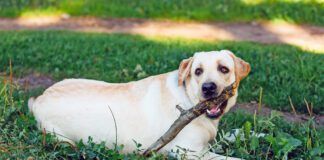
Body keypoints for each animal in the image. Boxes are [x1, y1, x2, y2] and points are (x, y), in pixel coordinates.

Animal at [28, 49, 251, 159]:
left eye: (224, 69)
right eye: (198, 71)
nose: (208, 88)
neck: (189, 100)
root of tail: (38, 99)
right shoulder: (189, 151)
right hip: (64, 139)